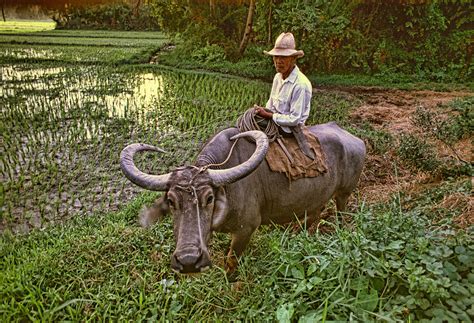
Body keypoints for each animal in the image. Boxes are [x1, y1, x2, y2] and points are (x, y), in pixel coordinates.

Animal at [120, 123, 364, 274]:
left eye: (209, 198)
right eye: (171, 201)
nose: (188, 261)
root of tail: (356, 140)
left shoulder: (246, 229)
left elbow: (231, 259)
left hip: (344, 194)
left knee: (340, 211)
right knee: (313, 215)